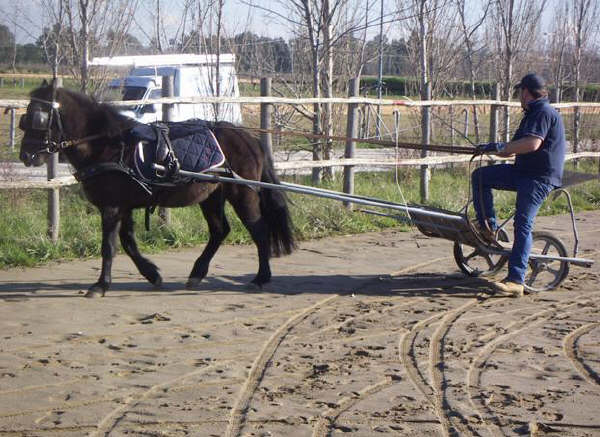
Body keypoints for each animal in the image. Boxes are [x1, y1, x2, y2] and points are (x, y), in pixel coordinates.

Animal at [19, 82, 296, 296]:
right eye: (25, 118)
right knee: (220, 231)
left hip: (243, 193)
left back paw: (260, 278)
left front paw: (100, 285)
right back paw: (197, 273)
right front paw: (152, 274)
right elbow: (128, 242)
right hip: (211, 196)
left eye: (39, 117)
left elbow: (109, 246)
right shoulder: (123, 206)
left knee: (259, 231)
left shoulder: (111, 206)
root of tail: (249, 138)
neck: (109, 145)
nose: (26, 156)